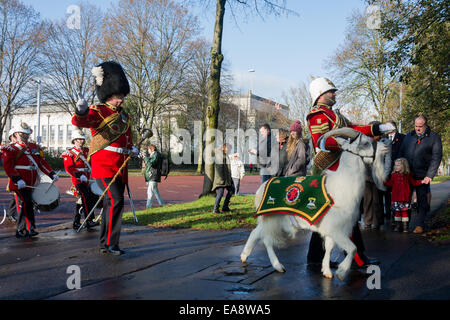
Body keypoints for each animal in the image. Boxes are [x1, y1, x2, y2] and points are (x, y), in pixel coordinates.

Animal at [241, 127, 388, 280]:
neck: (341, 184)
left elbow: (329, 248)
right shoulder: (337, 229)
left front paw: (327, 271)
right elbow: (353, 248)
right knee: (267, 240)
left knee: (255, 233)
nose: (385, 147)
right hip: (272, 219)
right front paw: (341, 272)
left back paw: (244, 256)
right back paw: (278, 266)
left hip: (270, 220)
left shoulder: (332, 230)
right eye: (365, 143)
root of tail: (260, 189)